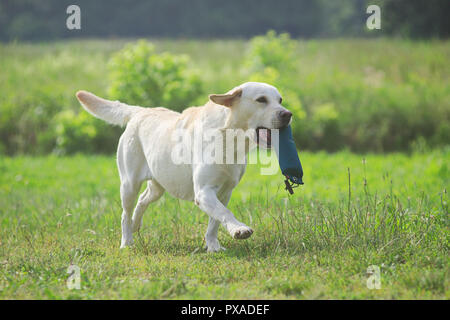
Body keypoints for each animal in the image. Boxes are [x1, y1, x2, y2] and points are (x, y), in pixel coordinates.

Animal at [77, 82, 292, 252]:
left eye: (280, 100)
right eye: (261, 100)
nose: (288, 114)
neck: (230, 140)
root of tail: (141, 111)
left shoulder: (225, 192)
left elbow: (215, 221)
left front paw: (213, 246)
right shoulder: (204, 191)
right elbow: (224, 213)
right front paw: (239, 230)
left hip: (158, 185)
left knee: (142, 200)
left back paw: (136, 224)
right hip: (129, 184)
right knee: (125, 213)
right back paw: (126, 241)